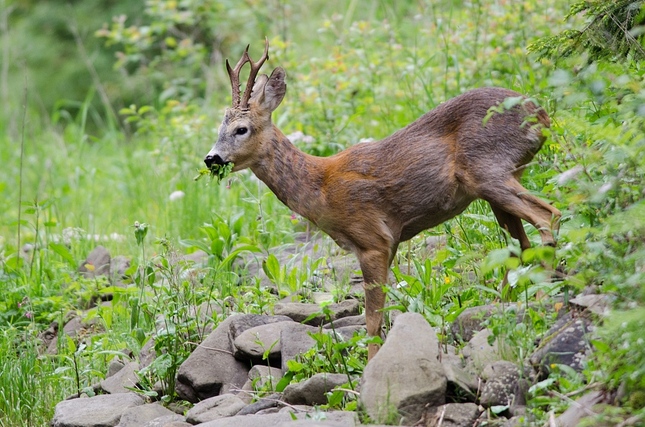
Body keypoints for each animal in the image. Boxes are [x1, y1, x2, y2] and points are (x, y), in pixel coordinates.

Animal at [205, 41, 560, 362]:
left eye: (241, 129)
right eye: (219, 128)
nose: (212, 158)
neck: (321, 188)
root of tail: (542, 116)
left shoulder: (371, 239)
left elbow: (372, 319)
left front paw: (370, 369)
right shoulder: (391, 242)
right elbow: (389, 309)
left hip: (487, 169)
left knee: (548, 216)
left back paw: (542, 299)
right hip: (500, 179)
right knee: (520, 245)